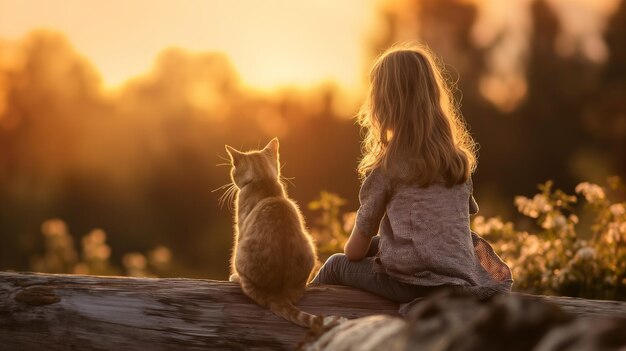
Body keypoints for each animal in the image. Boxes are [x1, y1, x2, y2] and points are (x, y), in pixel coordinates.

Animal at [224, 139, 320, 328]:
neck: (263, 180)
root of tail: (278, 296)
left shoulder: (240, 229)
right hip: (310, 246)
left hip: (240, 256)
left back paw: (235, 278)